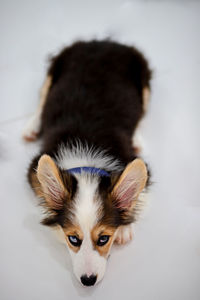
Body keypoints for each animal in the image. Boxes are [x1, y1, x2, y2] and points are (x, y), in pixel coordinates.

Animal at [23, 39, 151, 286]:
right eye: (73, 239)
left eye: (103, 239)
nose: (88, 281)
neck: (86, 162)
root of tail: (102, 41)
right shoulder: (34, 167)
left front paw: (125, 227)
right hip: (54, 69)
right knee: (42, 99)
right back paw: (31, 126)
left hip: (144, 77)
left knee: (143, 113)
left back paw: (139, 138)